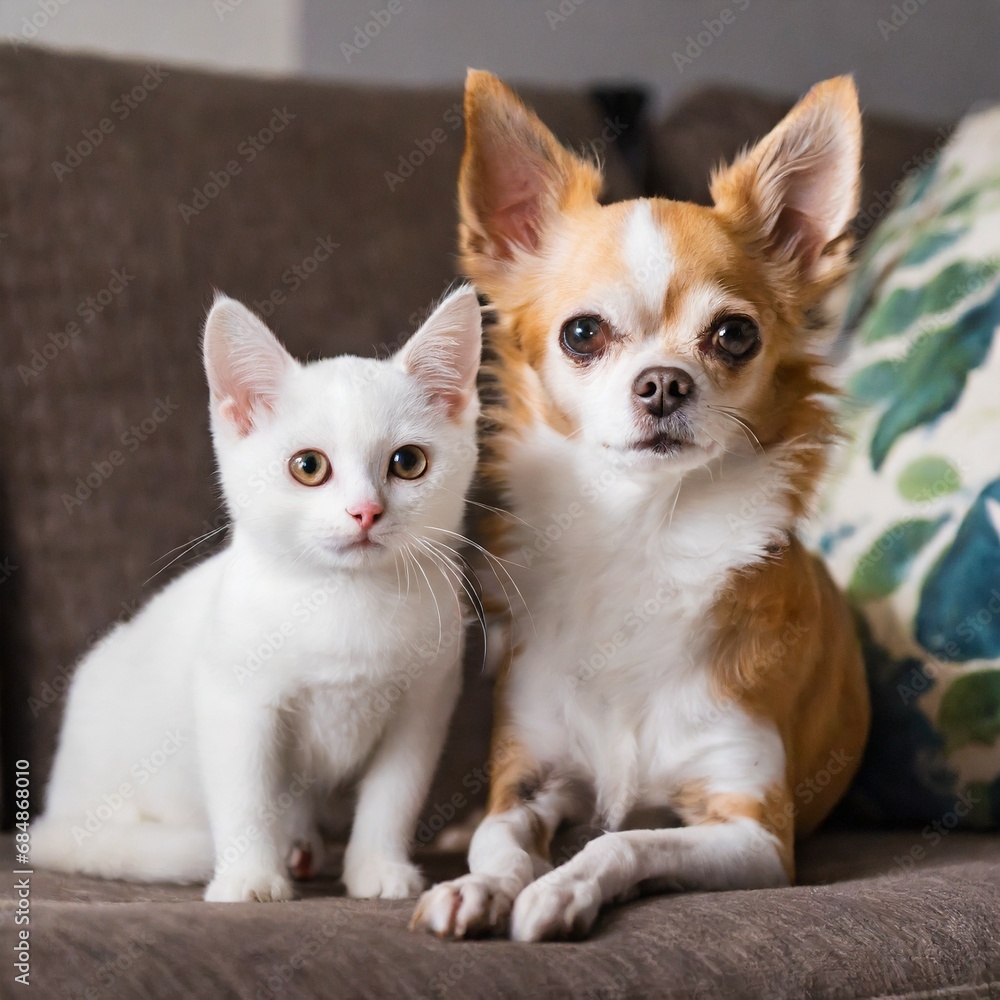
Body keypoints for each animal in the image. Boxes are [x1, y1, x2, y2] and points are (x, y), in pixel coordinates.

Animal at [32, 286, 484, 904]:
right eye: (308, 466)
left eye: (408, 462)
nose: (365, 511)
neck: (344, 601)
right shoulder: (234, 699)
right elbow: (245, 794)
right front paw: (247, 879)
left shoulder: (425, 703)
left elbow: (394, 795)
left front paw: (378, 867)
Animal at [410, 74, 872, 940]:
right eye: (582, 333)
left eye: (734, 335)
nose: (663, 382)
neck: (642, 536)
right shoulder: (528, 781)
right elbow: (500, 841)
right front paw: (478, 887)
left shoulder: (755, 832)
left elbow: (625, 842)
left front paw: (560, 890)